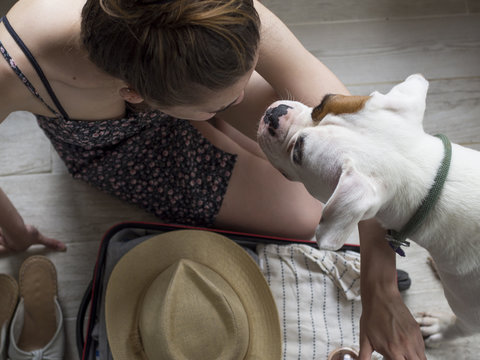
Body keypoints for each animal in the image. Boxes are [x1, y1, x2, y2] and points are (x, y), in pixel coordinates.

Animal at [258, 74, 480, 346]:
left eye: (297, 153)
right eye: (321, 103)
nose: (274, 114)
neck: (435, 184)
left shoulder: (471, 314)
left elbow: (459, 327)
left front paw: (440, 326)